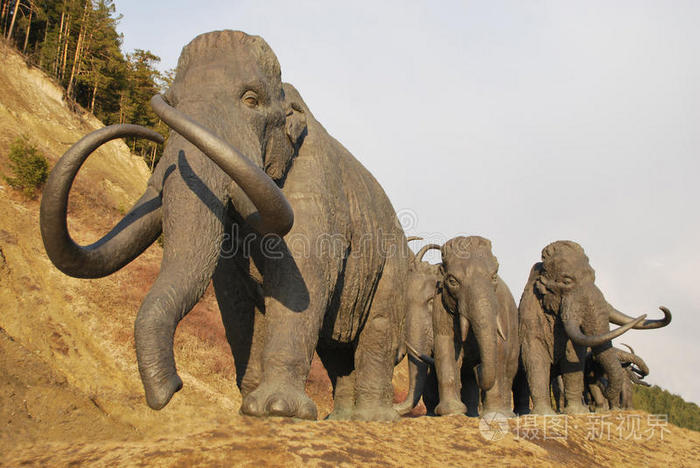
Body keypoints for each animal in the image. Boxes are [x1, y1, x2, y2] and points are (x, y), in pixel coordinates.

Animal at [40, 30, 410, 421]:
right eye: (173, 101)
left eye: (251, 100)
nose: (173, 388)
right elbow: (234, 298)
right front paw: (249, 409)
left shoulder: (316, 188)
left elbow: (301, 282)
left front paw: (277, 409)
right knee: (337, 354)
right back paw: (342, 419)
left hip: (392, 268)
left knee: (377, 331)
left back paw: (373, 418)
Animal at [431, 236, 520, 418]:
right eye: (452, 281)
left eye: (494, 277)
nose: (478, 368)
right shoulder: (440, 305)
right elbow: (444, 345)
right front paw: (452, 411)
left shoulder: (499, 308)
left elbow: (499, 349)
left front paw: (494, 415)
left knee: (509, 369)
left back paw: (507, 414)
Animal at [519, 240, 671, 415]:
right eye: (566, 281)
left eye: (593, 277)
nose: (661, 308)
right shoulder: (529, 323)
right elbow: (535, 360)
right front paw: (544, 413)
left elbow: (573, 359)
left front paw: (577, 412)